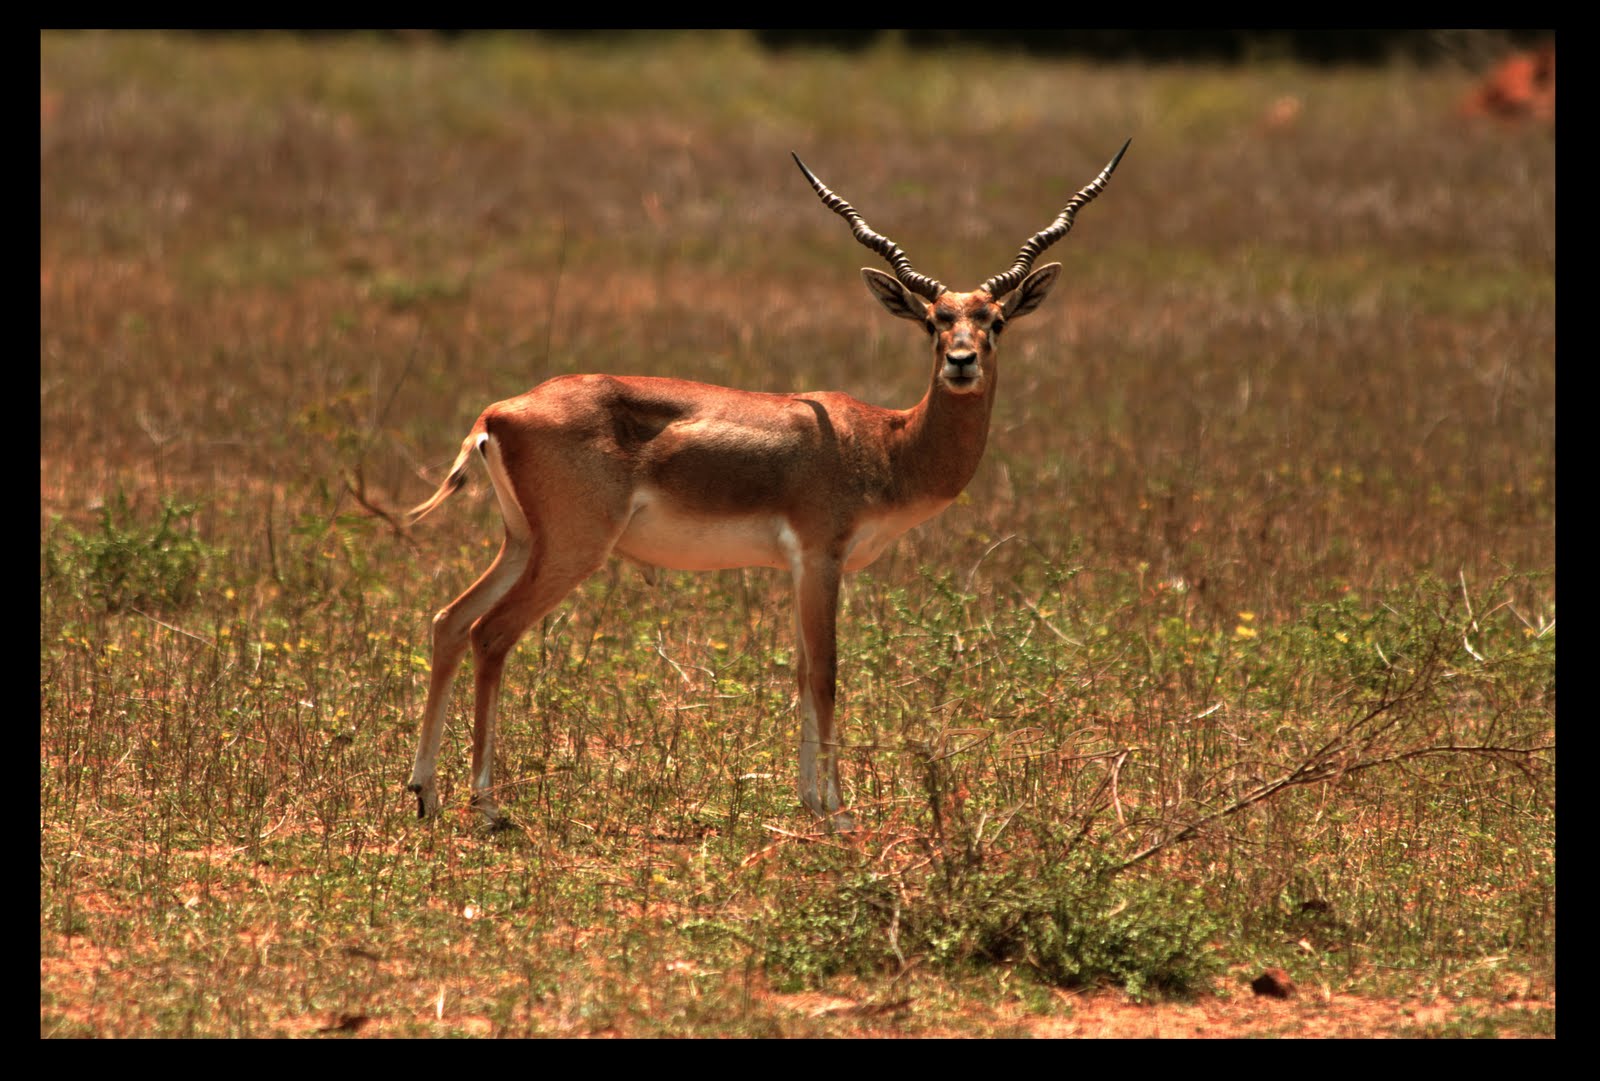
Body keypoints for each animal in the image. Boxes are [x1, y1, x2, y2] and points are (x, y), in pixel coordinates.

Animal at [404, 141, 1129, 830]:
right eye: (933, 321)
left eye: (994, 320)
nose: (960, 362)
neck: (885, 440)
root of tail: (498, 413)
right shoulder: (820, 555)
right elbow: (828, 673)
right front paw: (839, 810)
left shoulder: (798, 567)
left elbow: (803, 672)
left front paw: (810, 800)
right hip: (574, 547)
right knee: (491, 634)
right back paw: (487, 806)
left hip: (525, 542)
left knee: (449, 621)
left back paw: (425, 793)